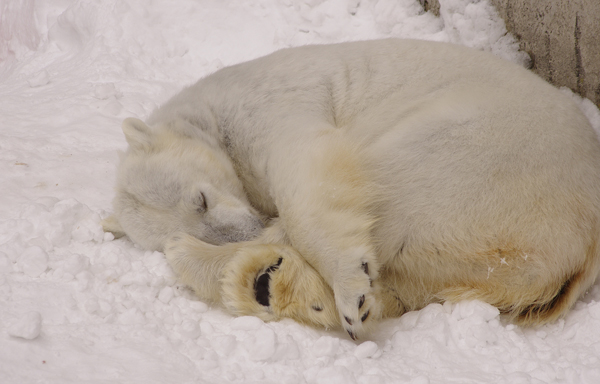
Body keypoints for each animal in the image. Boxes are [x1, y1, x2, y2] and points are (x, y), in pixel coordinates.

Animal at [103, 39, 600, 340]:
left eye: (200, 199)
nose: (242, 232)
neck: (209, 107)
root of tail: (580, 251)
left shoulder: (267, 106)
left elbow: (309, 167)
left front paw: (351, 293)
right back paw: (259, 280)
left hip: (480, 158)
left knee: (392, 189)